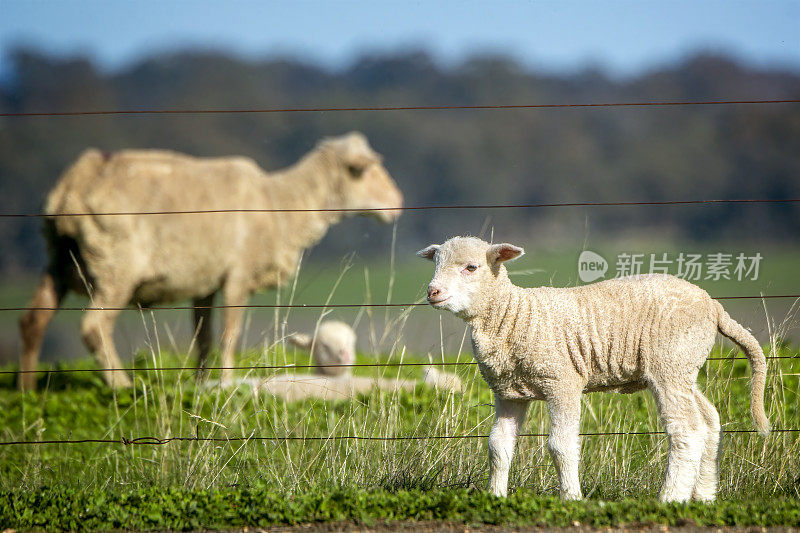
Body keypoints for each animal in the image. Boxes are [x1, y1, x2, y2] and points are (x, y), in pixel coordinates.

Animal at [17, 132, 406, 390]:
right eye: (366, 171)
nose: (399, 204)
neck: (280, 204)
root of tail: (73, 186)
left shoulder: (204, 281)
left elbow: (203, 338)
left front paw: (202, 383)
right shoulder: (238, 274)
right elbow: (229, 337)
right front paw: (227, 384)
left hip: (59, 260)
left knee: (32, 321)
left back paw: (27, 393)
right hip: (116, 266)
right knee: (93, 327)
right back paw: (124, 387)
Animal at [418, 237, 768, 502]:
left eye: (471, 267)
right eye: (435, 264)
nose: (432, 292)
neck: (514, 315)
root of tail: (714, 306)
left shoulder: (562, 382)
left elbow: (560, 445)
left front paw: (571, 498)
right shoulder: (509, 393)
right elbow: (498, 447)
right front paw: (495, 497)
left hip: (669, 364)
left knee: (687, 430)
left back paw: (671, 498)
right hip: (684, 367)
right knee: (709, 420)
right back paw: (704, 495)